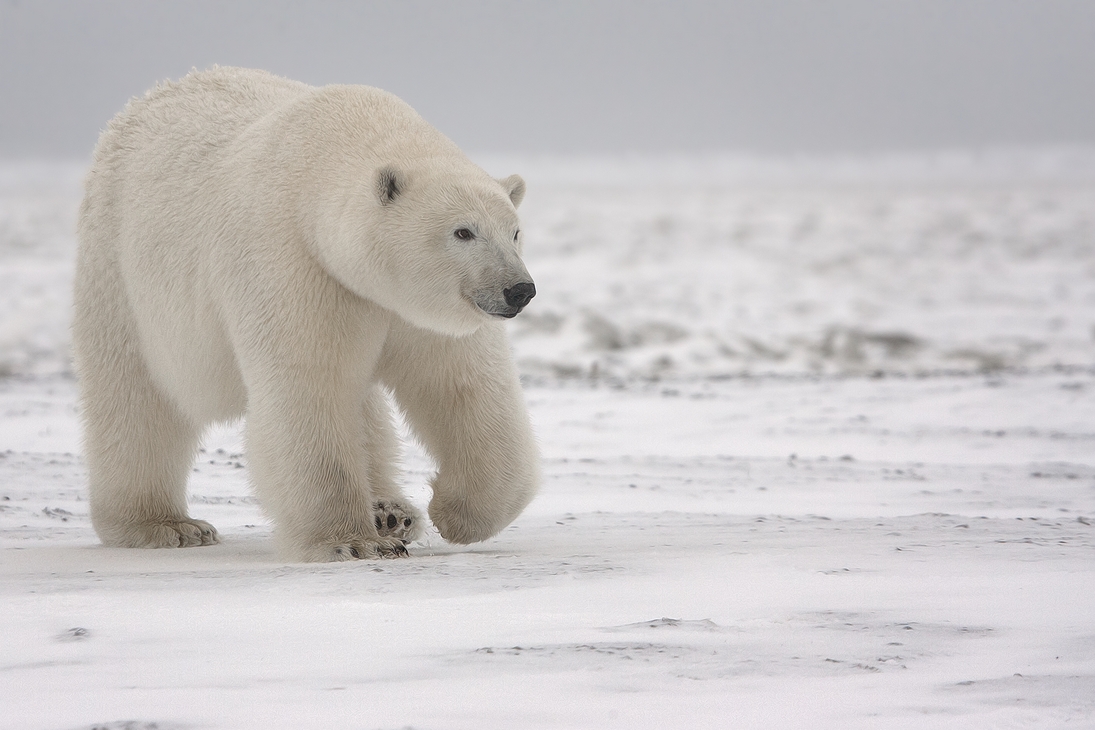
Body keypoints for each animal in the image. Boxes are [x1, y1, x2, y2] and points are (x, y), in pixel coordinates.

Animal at [72, 67, 543, 560]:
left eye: (514, 232)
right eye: (463, 231)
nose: (519, 290)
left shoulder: (408, 309)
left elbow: (464, 388)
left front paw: (455, 513)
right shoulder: (295, 263)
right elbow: (309, 388)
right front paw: (352, 541)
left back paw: (391, 512)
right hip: (118, 271)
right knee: (136, 399)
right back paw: (165, 524)